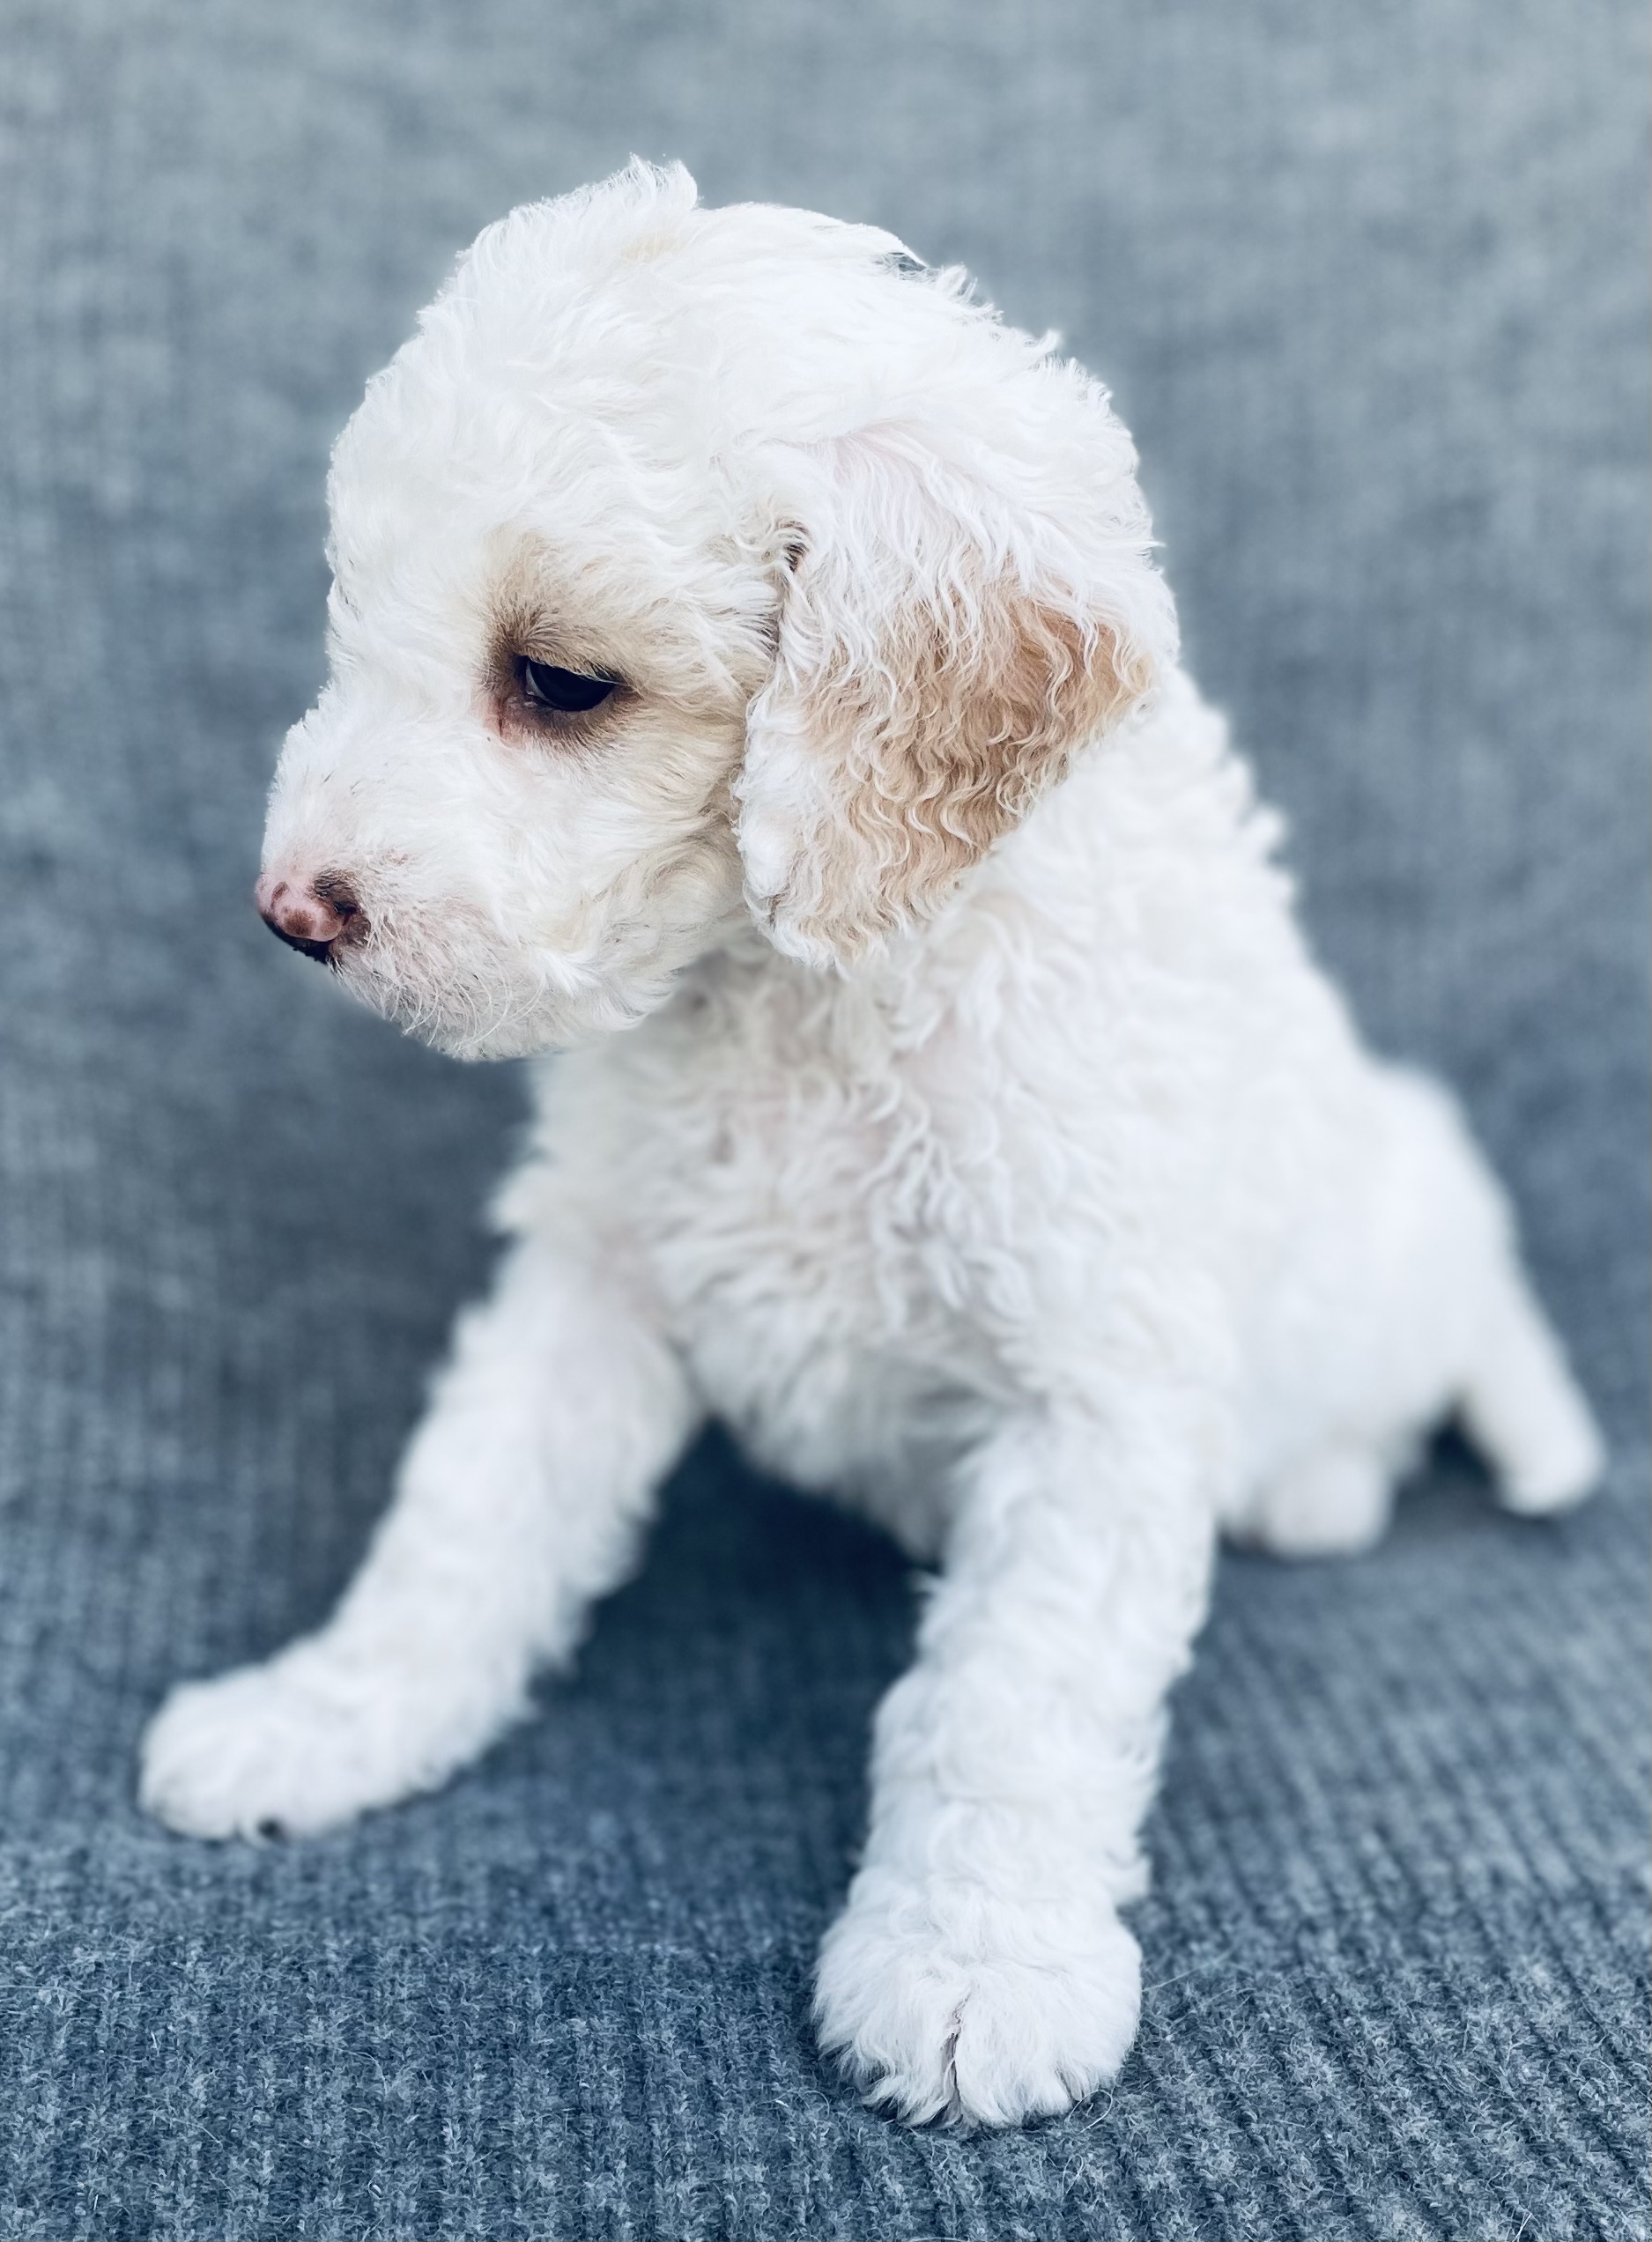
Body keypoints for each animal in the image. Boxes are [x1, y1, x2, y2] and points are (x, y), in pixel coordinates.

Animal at [139, 160, 1604, 2128]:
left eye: (558, 681)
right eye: (356, 619)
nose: (294, 911)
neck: (800, 990)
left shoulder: (1091, 1388)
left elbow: (1007, 1699)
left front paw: (975, 1965)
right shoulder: (596, 1273)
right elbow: (466, 1520)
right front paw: (323, 1716)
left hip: (1406, 1218)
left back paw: (1332, 1482)